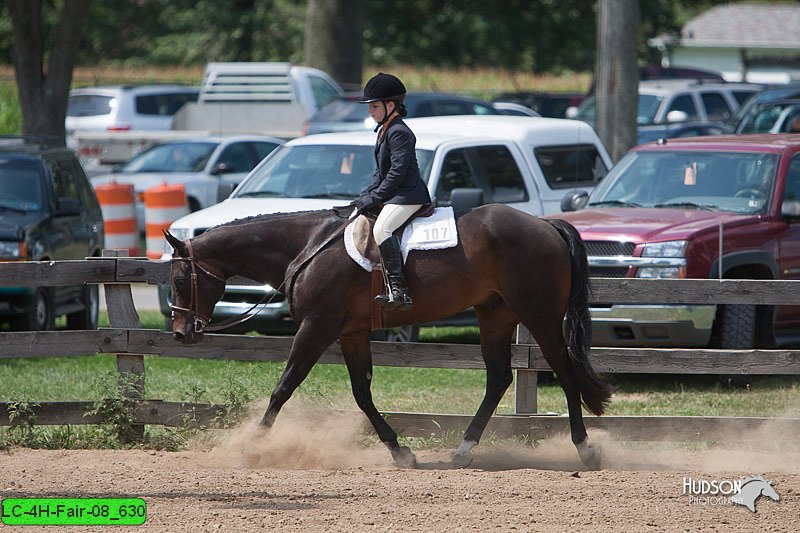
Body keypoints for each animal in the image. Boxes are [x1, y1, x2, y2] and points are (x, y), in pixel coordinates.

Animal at [164, 202, 612, 468]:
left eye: (181, 279)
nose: (181, 334)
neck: (307, 247)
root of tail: (546, 224)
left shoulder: (316, 328)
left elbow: (284, 387)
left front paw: (251, 446)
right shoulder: (351, 333)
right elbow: (362, 394)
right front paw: (400, 451)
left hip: (539, 316)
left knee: (565, 373)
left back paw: (584, 448)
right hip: (495, 315)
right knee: (499, 378)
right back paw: (462, 450)